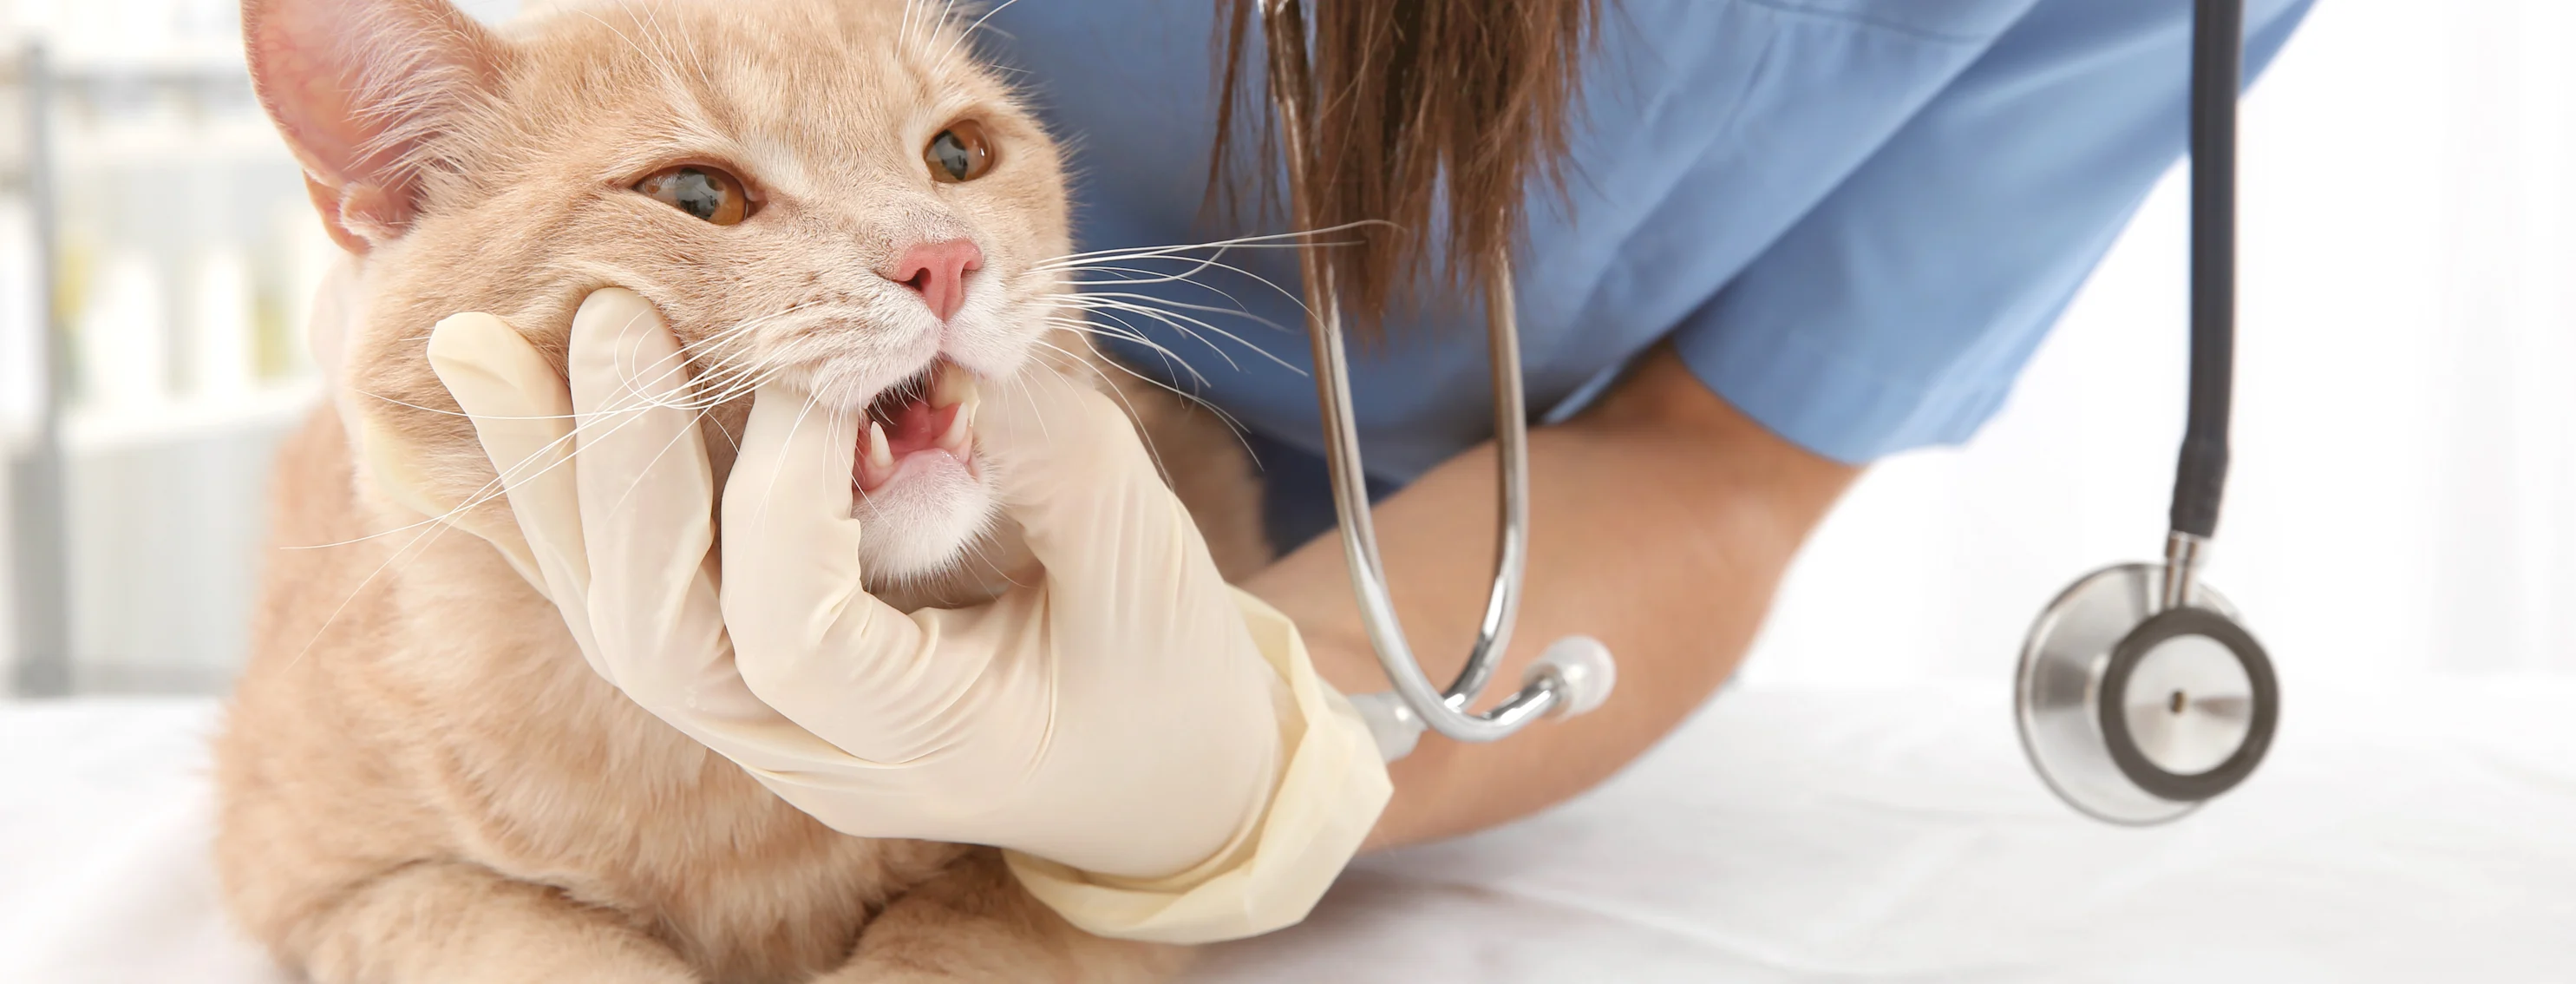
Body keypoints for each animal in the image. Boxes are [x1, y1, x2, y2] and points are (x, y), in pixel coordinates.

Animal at [211, 2, 1267, 984]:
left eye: (958, 153)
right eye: (698, 194)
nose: (945, 260)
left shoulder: (1096, 881)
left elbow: (964, 932)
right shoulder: (355, 890)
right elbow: (556, 950)